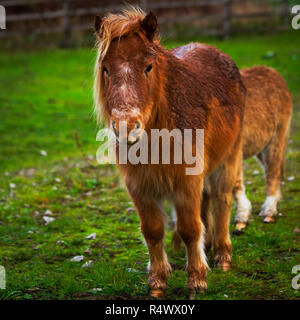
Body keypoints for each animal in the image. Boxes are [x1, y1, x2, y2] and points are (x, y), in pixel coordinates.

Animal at [94, 6, 246, 298]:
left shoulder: (186, 181)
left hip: (229, 158)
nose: (126, 126)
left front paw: (197, 280)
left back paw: (222, 255)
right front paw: (157, 282)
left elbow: (189, 228)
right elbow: (153, 231)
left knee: (221, 201)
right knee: (207, 203)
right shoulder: (140, 187)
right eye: (105, 68)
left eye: (148, 67)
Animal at [231, 66, 292, 229]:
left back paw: (269, 213)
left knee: (273, 173)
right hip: (260, 146)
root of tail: (270, 70)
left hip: (276, 140)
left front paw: (241, 219)